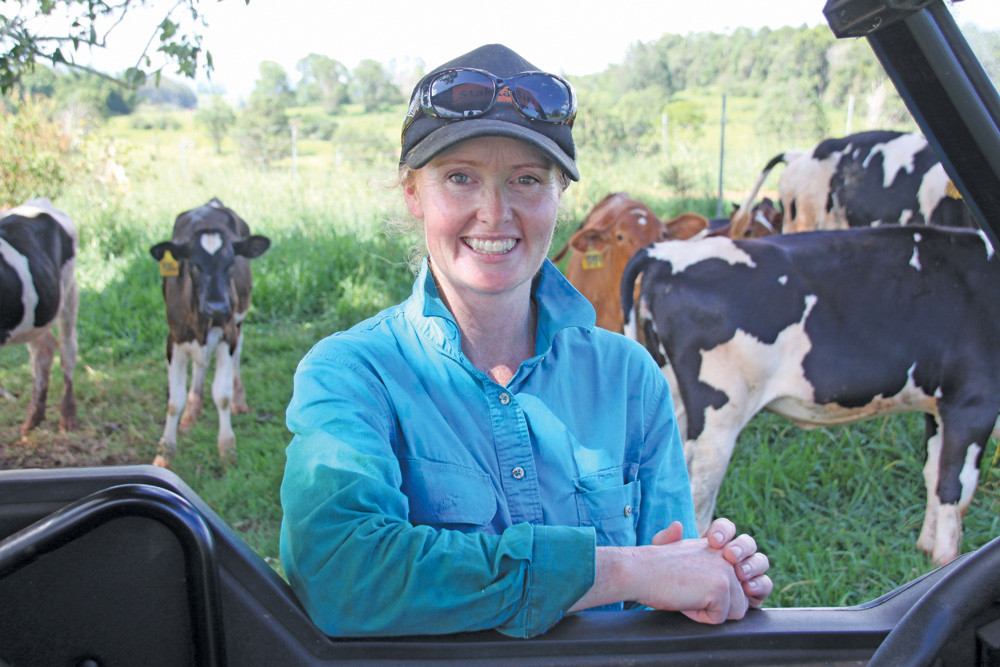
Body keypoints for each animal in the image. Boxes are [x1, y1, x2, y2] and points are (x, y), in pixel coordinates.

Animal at [0, 198, 78, 436]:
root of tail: (38, 202)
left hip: (68, 290)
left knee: (67, 350)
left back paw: (68, 417)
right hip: (34, 317)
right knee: (43, 350)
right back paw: (34, 418)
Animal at [148, 198, 270, 470]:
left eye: (231, 263)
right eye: (194, 264)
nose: (217, 306)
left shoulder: (227, 335)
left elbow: (221, 395)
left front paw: (227, 448)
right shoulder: (173, 341)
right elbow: (174, 401)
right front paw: (165, 451)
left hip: (239, 323)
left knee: (236, 357)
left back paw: (239, 401)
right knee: (200, 365)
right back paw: (191, 413)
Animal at [620, 227, 1000, 568]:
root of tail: (665, 253)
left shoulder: (938, 408)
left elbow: (933, 474)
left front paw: (925, 550)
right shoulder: (973, 403)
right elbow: (955, 486)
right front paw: (946, 559)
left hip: (674, 393)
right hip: (720, 414)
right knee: (697, 493)